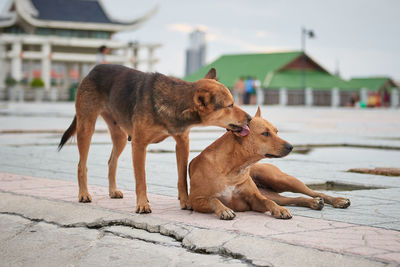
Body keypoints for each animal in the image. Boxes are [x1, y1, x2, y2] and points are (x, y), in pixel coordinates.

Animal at [57, 65, 250, 214]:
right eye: (230, 105)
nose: (249, 118)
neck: (175, 101)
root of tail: (93, 69)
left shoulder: (182, 143)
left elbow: (182, 177)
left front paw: (186, 201)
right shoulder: (139, 145)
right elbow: (141, 180)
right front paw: (142, 204)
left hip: (120, 136)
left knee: (112, 161)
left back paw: (112, 191)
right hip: (86, 128)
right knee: (81, 165)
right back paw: (83, 194)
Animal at [189, 108, 348, 221]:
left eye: (277, 131)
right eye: (265, 133)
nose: (291, 147)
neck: (233, 168)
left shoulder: (254, 200)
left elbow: (267, 202)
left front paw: (279, 210)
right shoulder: (196, 201)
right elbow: (213, 199)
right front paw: (224, 209)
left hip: (281, 179)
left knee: (313, 192)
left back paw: (337, 200)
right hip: (278, 191)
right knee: (292, 199)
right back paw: (313, 203)